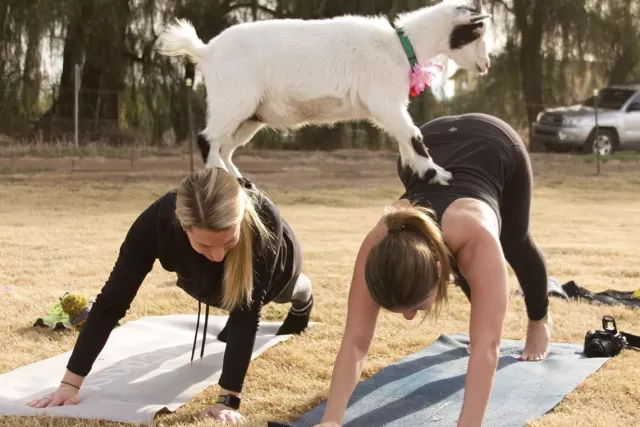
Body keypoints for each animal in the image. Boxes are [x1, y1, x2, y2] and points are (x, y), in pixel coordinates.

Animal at [157, 0, 492, 184]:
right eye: (476, 32)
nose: (486, 64)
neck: (398, 46)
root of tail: (206, 51)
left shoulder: (389, 107)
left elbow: (405, 140)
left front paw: (418, 171)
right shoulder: (385, 101)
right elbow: (413, 135)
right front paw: (437, 174)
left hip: (250, 116)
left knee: (224, 146)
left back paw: (238, 179)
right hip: (233, 100)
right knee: (207, 140)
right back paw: (223, 176)